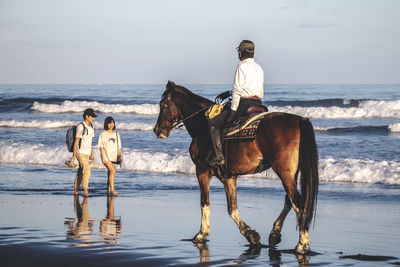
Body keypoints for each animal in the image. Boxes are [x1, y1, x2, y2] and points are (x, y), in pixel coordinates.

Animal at [153, 81, 318, 255]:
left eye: (163, 105)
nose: (157, 129)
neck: (202, 124)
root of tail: (299, 120)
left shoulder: (203, 170)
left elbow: (207, 203)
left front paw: (202, 234)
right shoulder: (229, 176)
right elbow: (232, 208)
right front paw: (251, 235)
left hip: (284, 173)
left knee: (298, 203)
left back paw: (301, 244)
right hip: (291, 173)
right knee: (290, 201)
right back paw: (275, 233)